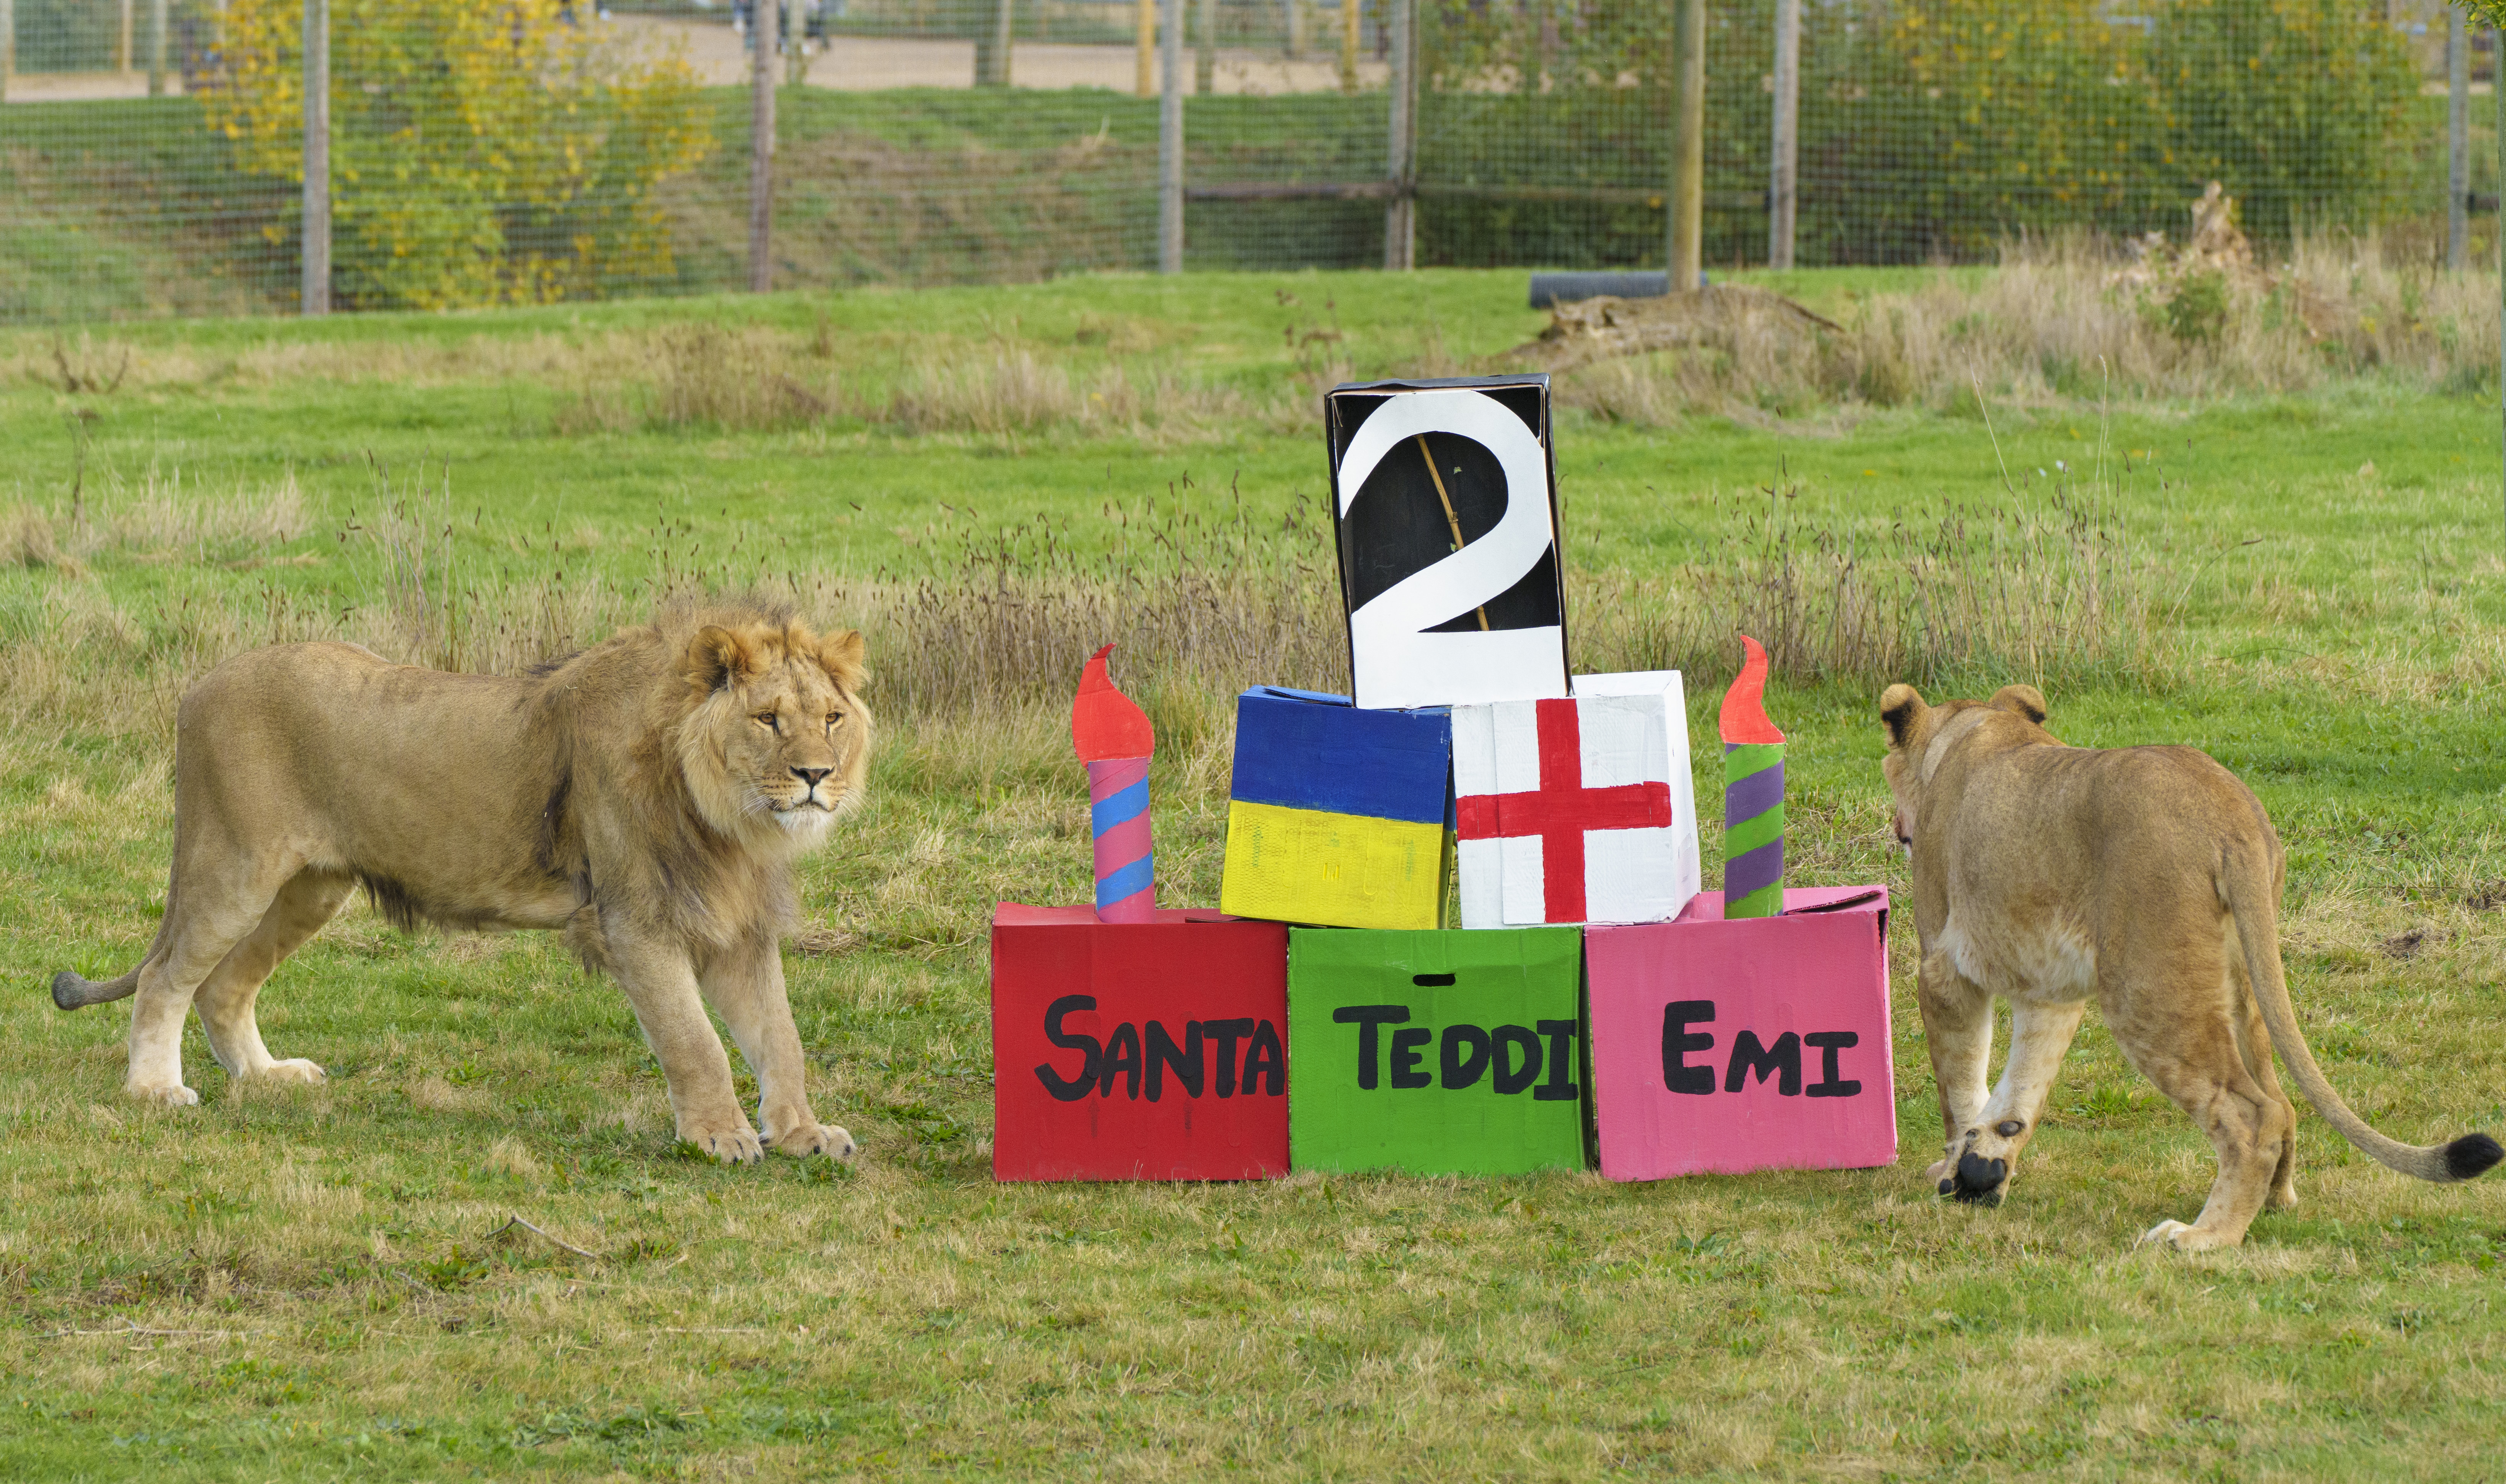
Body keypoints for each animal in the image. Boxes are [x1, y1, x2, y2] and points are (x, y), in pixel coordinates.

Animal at [50, 600, 872, 1165]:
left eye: (832, 717)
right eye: (767, 719)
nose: (815, 776)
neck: (729, 820)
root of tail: (201, 685)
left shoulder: (737, 928)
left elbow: (780, 1037)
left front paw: (803, 1132)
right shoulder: (634, 921)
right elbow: (694, 1040)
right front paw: (719, 1136)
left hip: (310, 886)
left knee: (222, 984)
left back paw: (266, 1075)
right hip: (233, 865)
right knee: (165, 974)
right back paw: (155, 1090)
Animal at [1879, 681, 2501, 1249]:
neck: (1975, 730)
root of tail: (2229, 812)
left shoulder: (1944, 970)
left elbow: (1961, 1083)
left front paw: (1951, 1170)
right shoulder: (2050, 991)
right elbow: (2022, 1082)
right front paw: (1982, 1168)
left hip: (2146, 991)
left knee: (2251, 1115)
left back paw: (2204, 1236)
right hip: (2243, 986)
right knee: (2280, 1102)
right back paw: (2273, 1201)